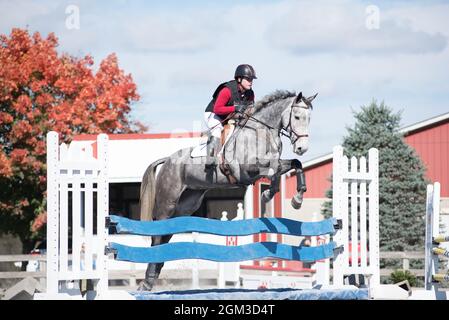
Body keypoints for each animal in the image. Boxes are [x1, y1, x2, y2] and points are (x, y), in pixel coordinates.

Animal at [138, 89, 316, 290]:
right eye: (297, 116)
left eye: (309, 119)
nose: (302, 148)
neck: (260, 133)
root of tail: (167, 160)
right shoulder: (246, 169)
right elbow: (272, 169)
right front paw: (270, 193)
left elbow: (294, 164)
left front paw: (295, 199)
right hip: (167, 202)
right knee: (157, 235)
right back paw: (148, 279)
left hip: (186, 204)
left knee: (166, 234)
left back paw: (153, 275)